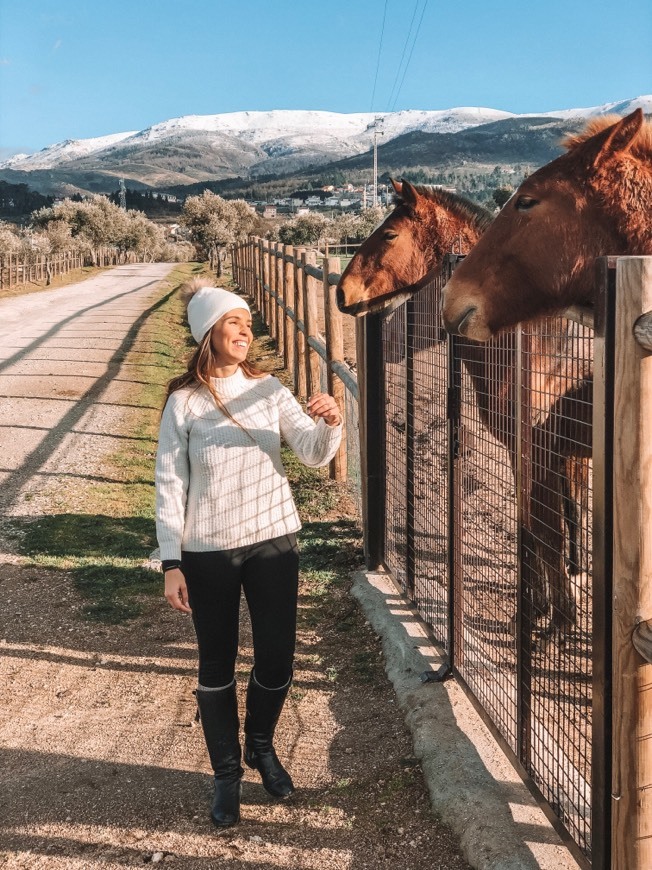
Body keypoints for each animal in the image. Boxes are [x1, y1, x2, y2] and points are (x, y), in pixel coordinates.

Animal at [338, 181, 588, 636]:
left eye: (389, 234)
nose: (341, 291)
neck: (538, 346)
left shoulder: (542, 452)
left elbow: (547, 534)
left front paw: (560, 620)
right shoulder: (529, 453)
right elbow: (535, 530)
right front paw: (539, 609)